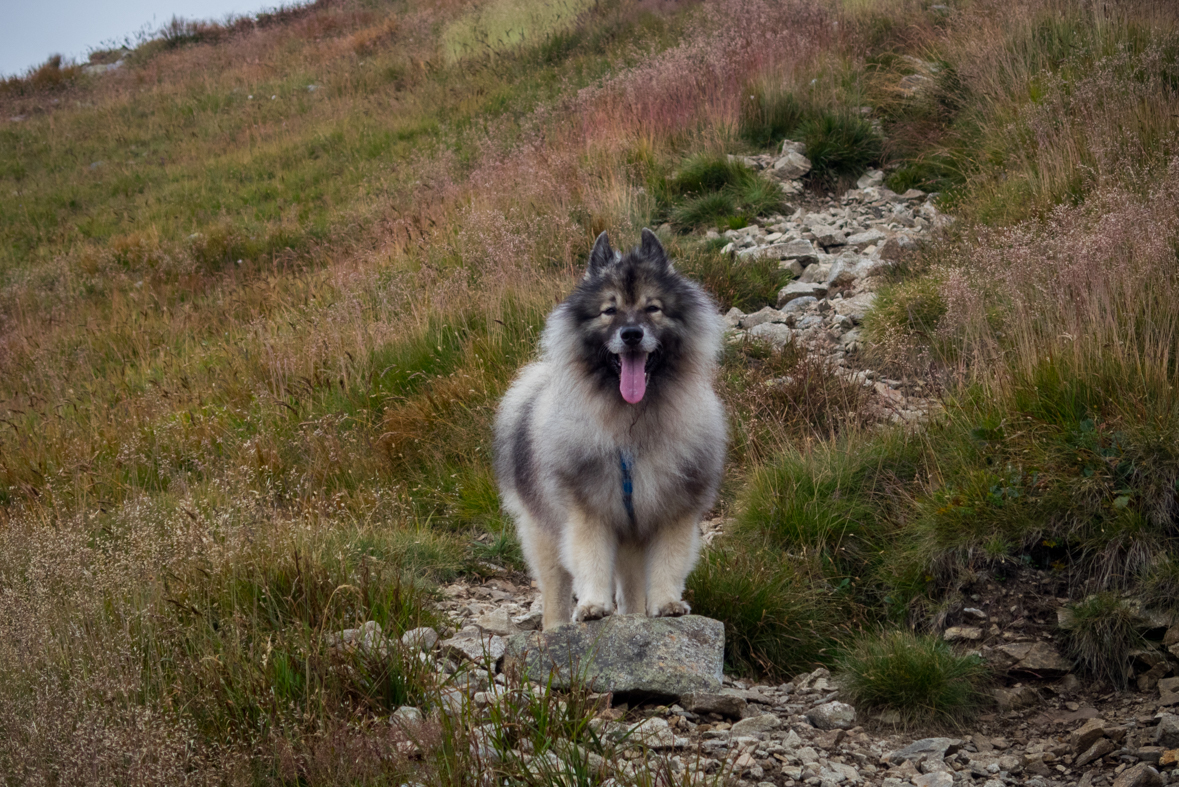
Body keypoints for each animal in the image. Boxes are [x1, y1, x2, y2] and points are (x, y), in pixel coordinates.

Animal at [490, 227, 726, 626]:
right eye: (609, 310)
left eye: (652, 308)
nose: (631, 334)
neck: (629, 421)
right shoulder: (589, 510)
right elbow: (591, 559)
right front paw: (592, 606)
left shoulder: (673, 511)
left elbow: (669, 562)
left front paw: (667, 604)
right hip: (544, 535)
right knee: (554, 591)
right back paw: (556, 627)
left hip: (630, 540)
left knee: (630, 592)